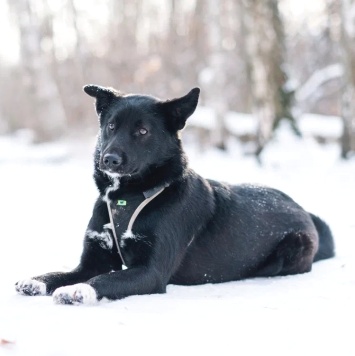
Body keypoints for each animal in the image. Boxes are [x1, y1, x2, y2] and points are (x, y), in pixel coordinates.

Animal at [15, 85, 336, 304]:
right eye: (111, 126)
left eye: (143, 131)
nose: (109, 159)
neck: (128, 197)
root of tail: (304, 211)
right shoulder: (92, 260)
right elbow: (65, 272)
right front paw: (38, 280)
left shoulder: (151, 272)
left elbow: (105, 278)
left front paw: (78, 289)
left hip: (292, 248)